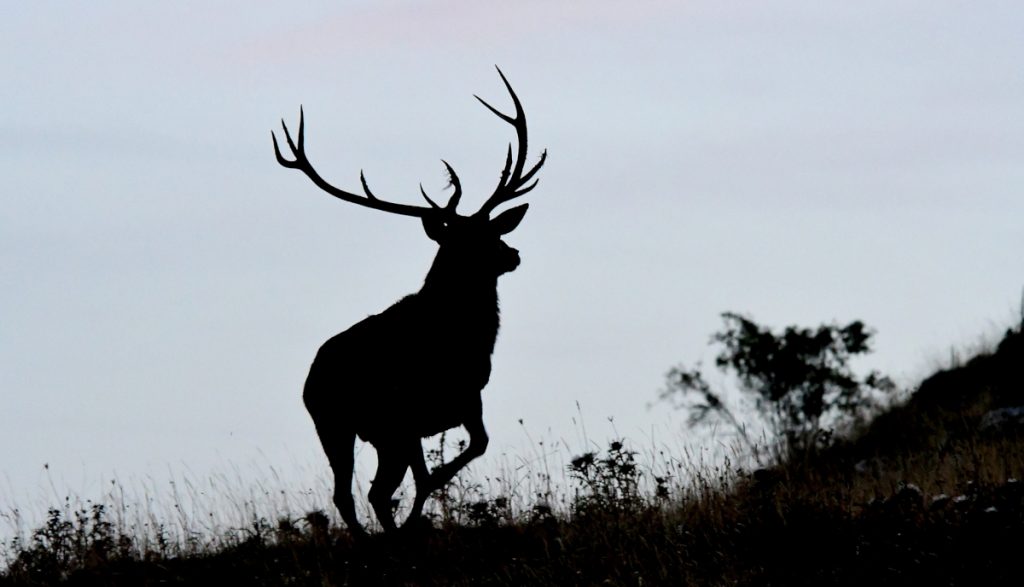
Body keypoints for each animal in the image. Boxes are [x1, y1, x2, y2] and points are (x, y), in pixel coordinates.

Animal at [272, 68, 546, 535]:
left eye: (493, 229)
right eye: (463, 242)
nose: (512, 254)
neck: (467, 339)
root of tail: (312, 379)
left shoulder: (449, 407)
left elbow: (456, 458)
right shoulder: (427, 410)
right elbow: (439, 468)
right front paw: (421, 513)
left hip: (351, 428)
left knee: (356, 494)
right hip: (353, 424)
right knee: (363, 493)